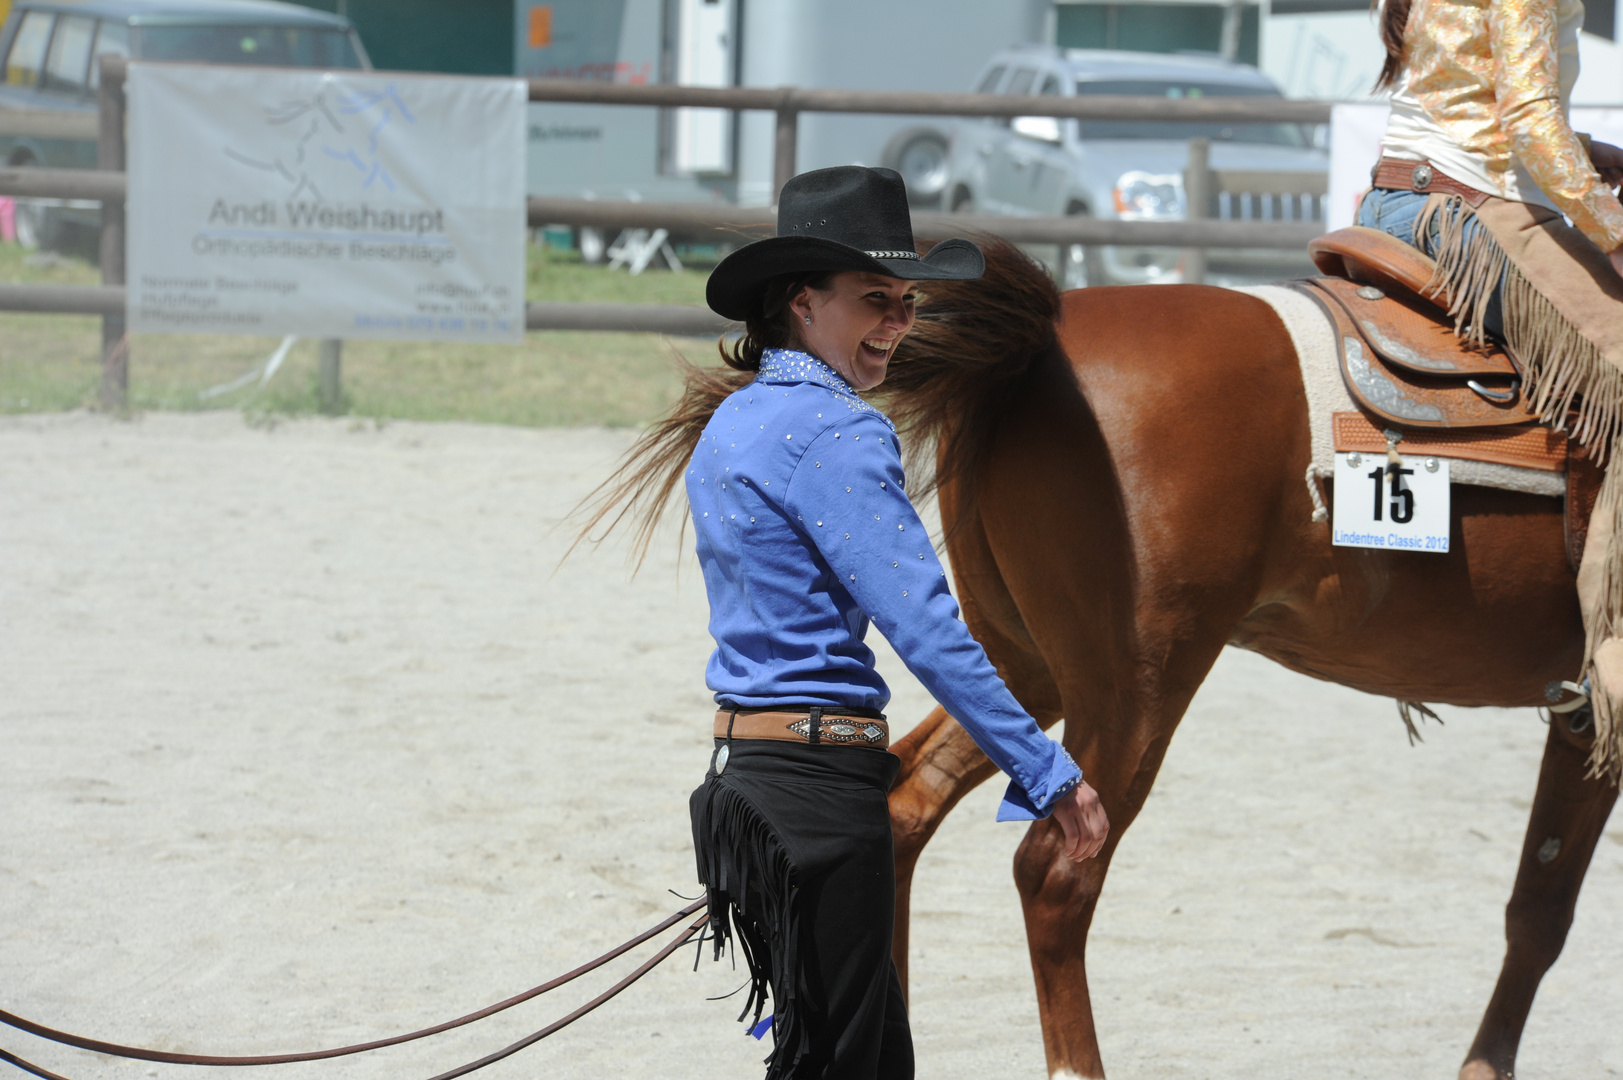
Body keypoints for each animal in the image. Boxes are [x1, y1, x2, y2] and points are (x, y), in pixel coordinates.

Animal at [882, 240, 1616, 1078]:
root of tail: (1037, 345)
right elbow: (1545, 911)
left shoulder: (1581, 718)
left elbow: (1536, 908)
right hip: (1136, 689)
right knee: (1055, 874)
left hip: (1015, 664)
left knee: (909, 799)